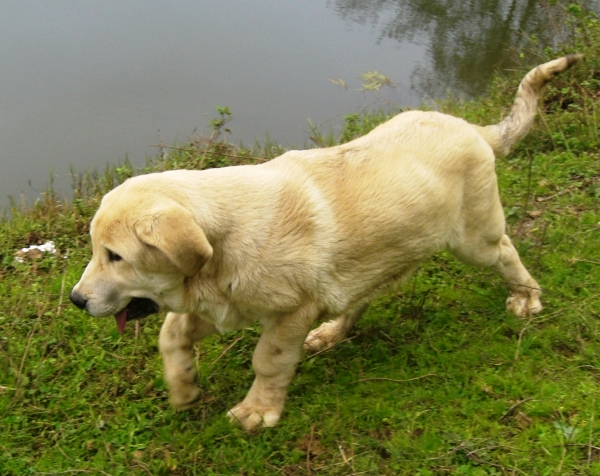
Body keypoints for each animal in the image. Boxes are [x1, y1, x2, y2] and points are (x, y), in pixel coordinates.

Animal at [70, 54, 580, 428]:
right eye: (98, 251)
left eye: (115, 256)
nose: (76, 300)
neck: (223, 245)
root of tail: (472, 128)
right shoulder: (224, 304)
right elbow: (171, 333)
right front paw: (184, 387)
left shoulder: (288, 313)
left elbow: (268, 361)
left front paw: (258, 411)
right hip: (372, 261)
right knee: (360, 296)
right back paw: (333, 332)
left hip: (475, 236)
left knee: (507, 252)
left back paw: (525, 298)